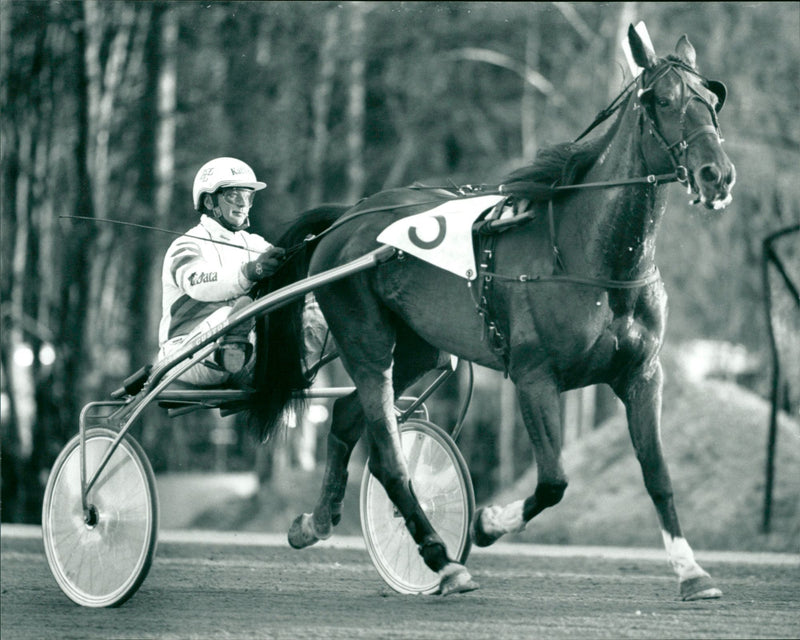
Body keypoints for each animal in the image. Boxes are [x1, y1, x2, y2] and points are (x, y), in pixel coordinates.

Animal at [252, 23, 736, 596]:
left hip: (416, 347)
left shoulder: (642, 373)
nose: (717, 175)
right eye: (663, 100)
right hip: (366, 340)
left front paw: (692, 571)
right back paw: (441, 559)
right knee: (389, 455)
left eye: (712, 100)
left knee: (348, 416)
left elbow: (658, 473)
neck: (589, 256)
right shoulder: (533, 376)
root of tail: (347, 217)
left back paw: (316, 521)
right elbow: (554, 481)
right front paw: (486, 523)